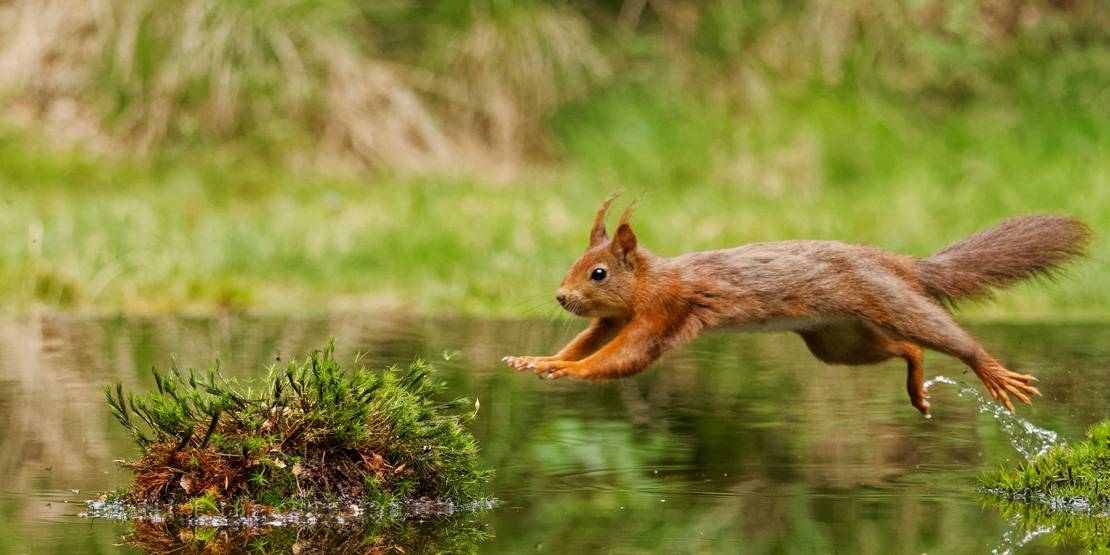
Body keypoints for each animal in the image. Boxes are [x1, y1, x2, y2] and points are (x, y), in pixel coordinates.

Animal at [504, 192, 1091, 415]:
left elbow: (622, 358)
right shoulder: (615, 318)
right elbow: (589, 341)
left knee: (938, 334)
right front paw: (540, 360)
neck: (649, 281)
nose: (561, 296)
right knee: (907, 349)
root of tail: (896, 262)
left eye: (598, 272)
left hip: (887, 300)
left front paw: (570, 373)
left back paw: (989, 369)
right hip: (837, 340)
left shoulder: (663, 312)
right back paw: (916, 385)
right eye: (574, 264)